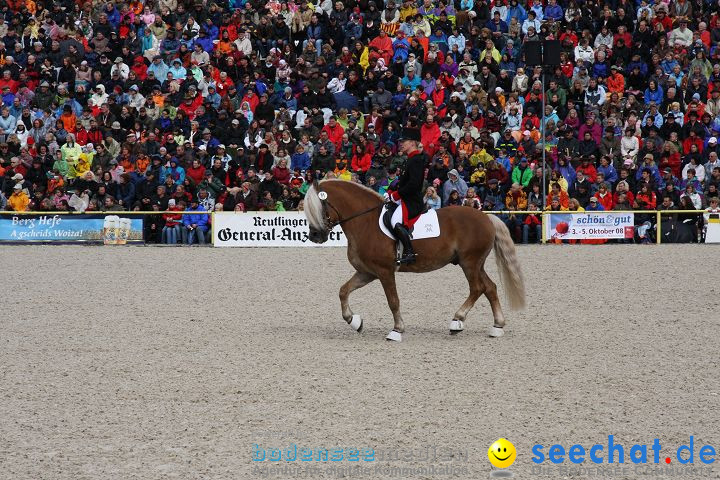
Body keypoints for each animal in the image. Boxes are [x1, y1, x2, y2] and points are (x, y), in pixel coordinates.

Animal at [300, 179, 524, 342]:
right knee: (490, 288)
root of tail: (487, 218)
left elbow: (393, 301)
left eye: (317, 207)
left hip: (470, 263)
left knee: (477, 288)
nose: (315, 236)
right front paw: (354, 321)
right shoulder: (367, 272)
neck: (364, 221)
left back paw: (457, 321)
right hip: (475, 264)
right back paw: (497, 327)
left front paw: (397, 330)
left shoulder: (385, 272)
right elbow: (343, 291)